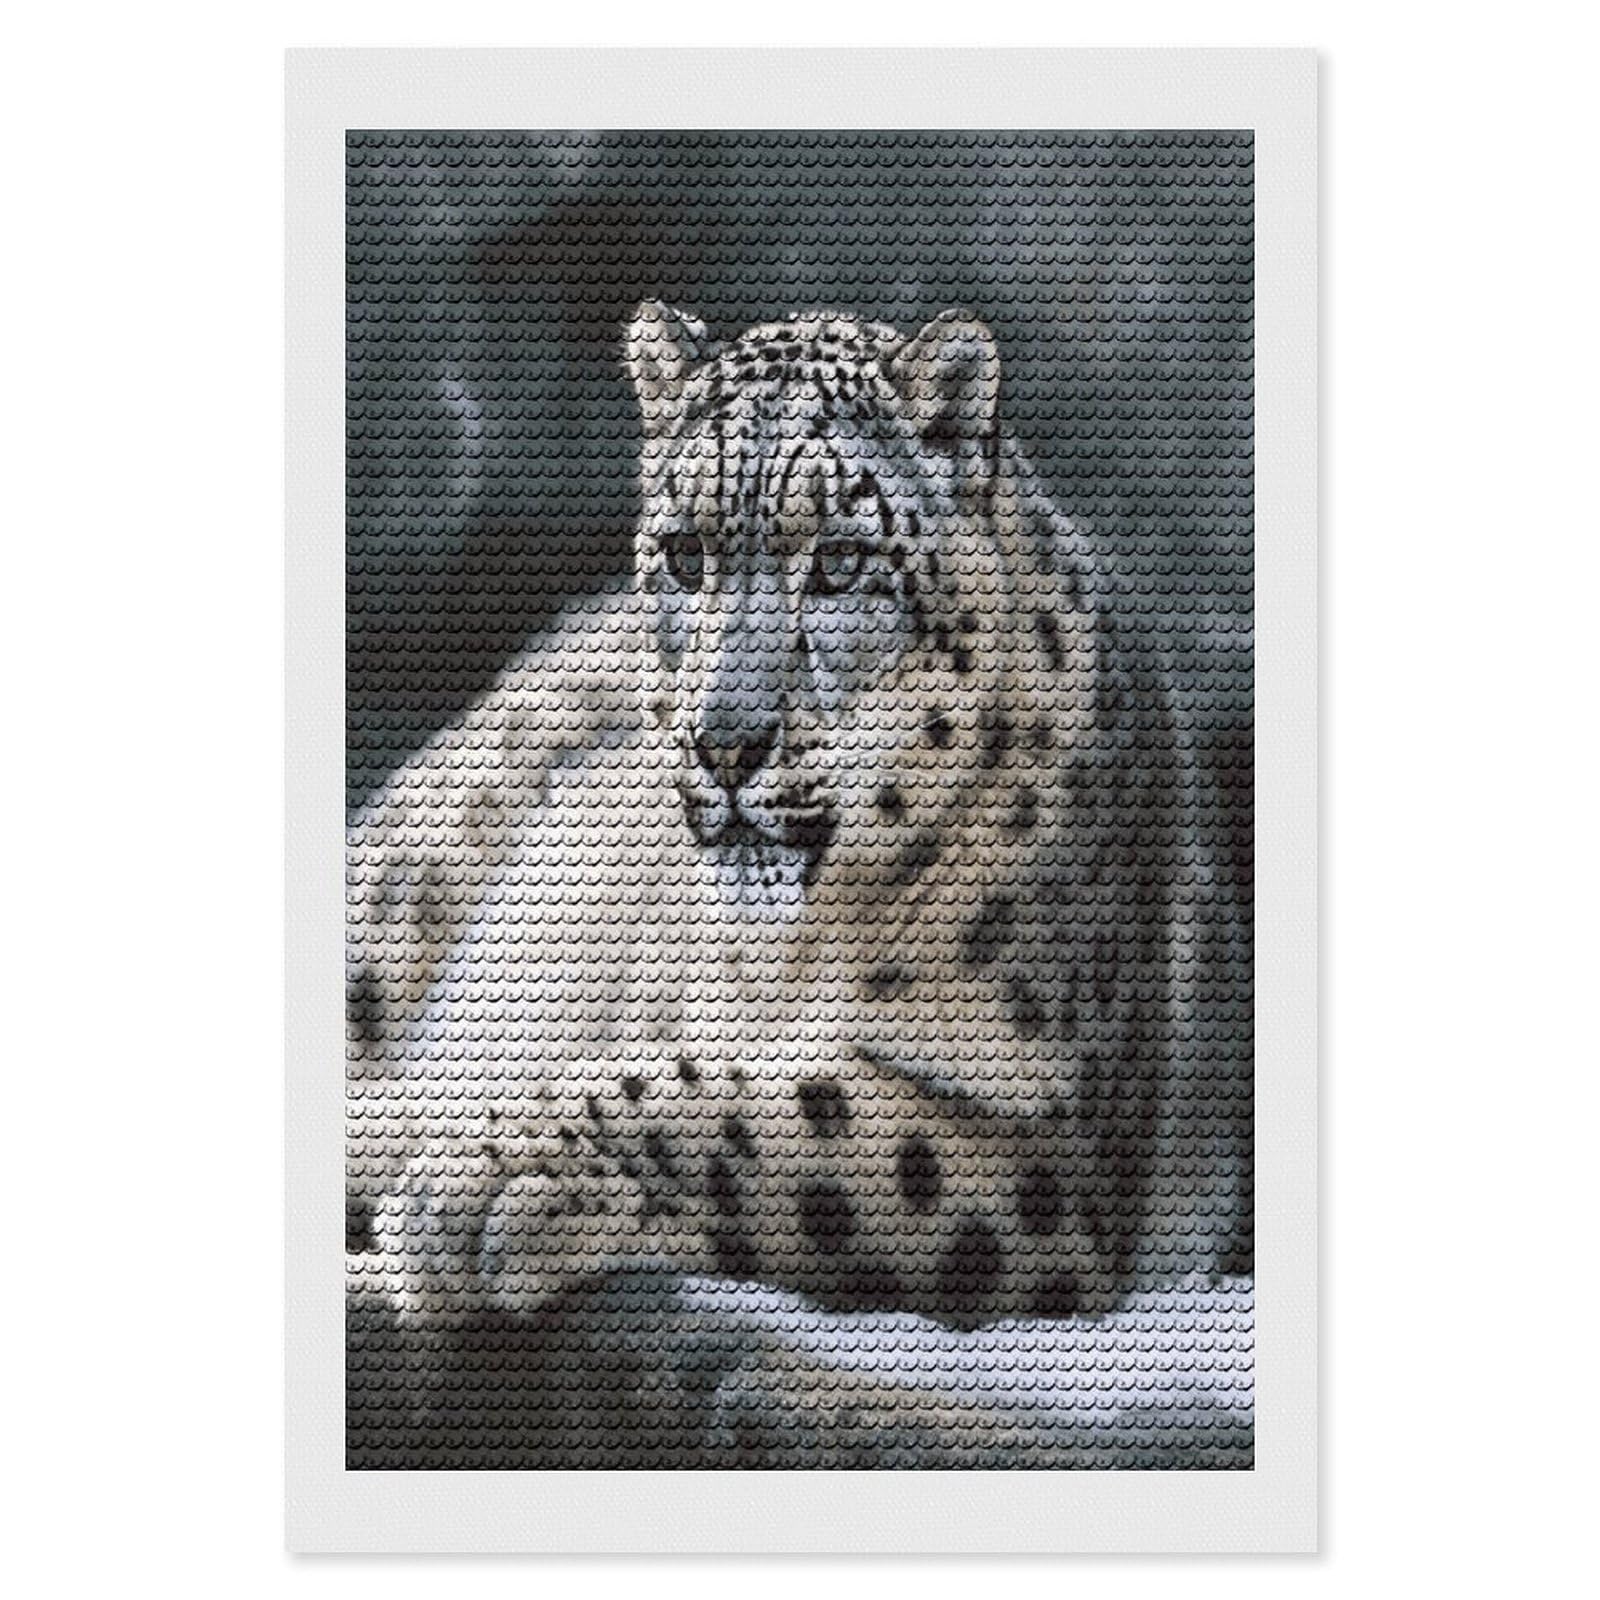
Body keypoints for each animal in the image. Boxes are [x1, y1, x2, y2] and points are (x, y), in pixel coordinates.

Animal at [345, 303, 1251, 1340]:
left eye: (841, 560)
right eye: (684, 553)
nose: (726, 744)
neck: (795, 954)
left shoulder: (1045, 1164)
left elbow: (765, 1119)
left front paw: (483, 1186)